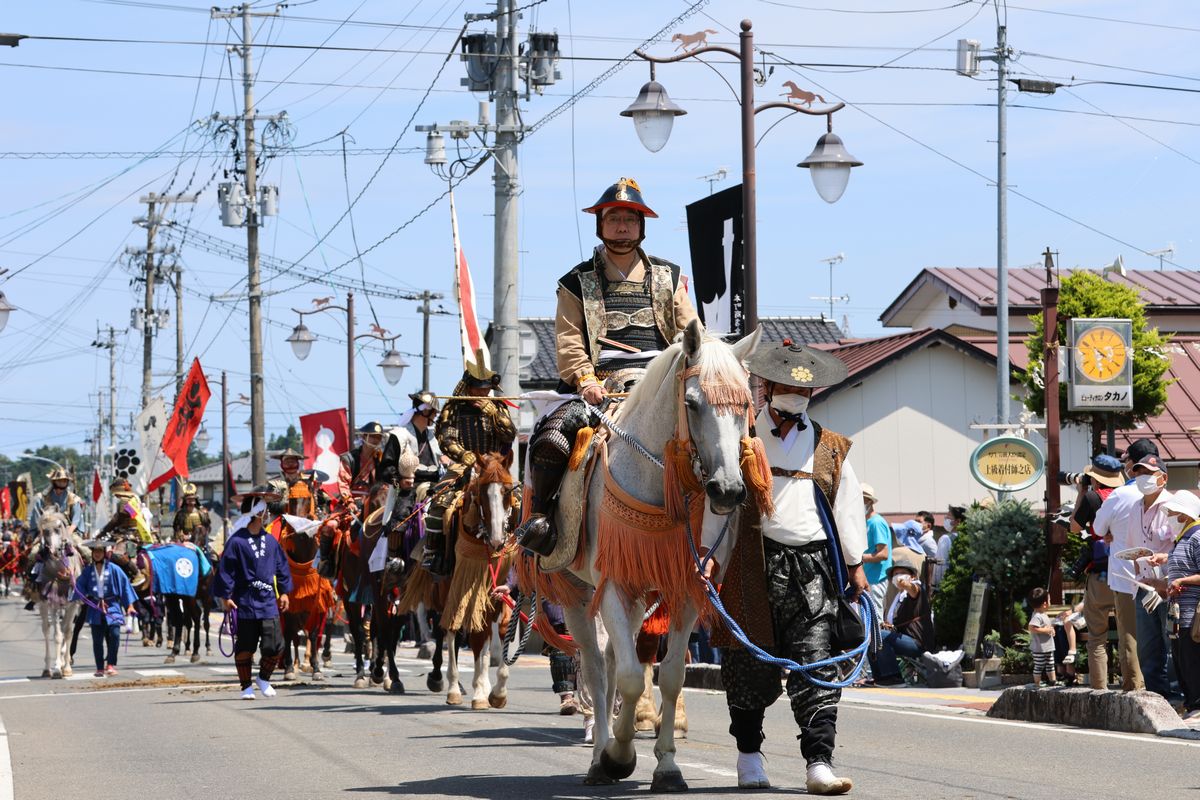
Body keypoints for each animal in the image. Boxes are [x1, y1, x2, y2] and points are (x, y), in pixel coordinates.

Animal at [33, 513, 83, 676]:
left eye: (59, 527)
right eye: (44, 531)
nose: (55, 550)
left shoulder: (73, 604)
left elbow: (68, 632)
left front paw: (66, 668)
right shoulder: (53, 602)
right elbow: (57, 635)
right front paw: (57, 668)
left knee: (64, 627)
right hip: (43, 604)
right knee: (46, 630)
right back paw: (48, 668)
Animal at [559, 321, 763, 791]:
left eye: (744, 405)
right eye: (692, 402)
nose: (728, 490)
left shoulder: (686, 586)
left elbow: (668, 676)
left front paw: (666, 765)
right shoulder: (613, 583)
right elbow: (632, 677)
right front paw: (617, 756)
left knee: (614, 659)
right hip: (576, 590)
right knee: (596, 667)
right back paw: (598, 755)